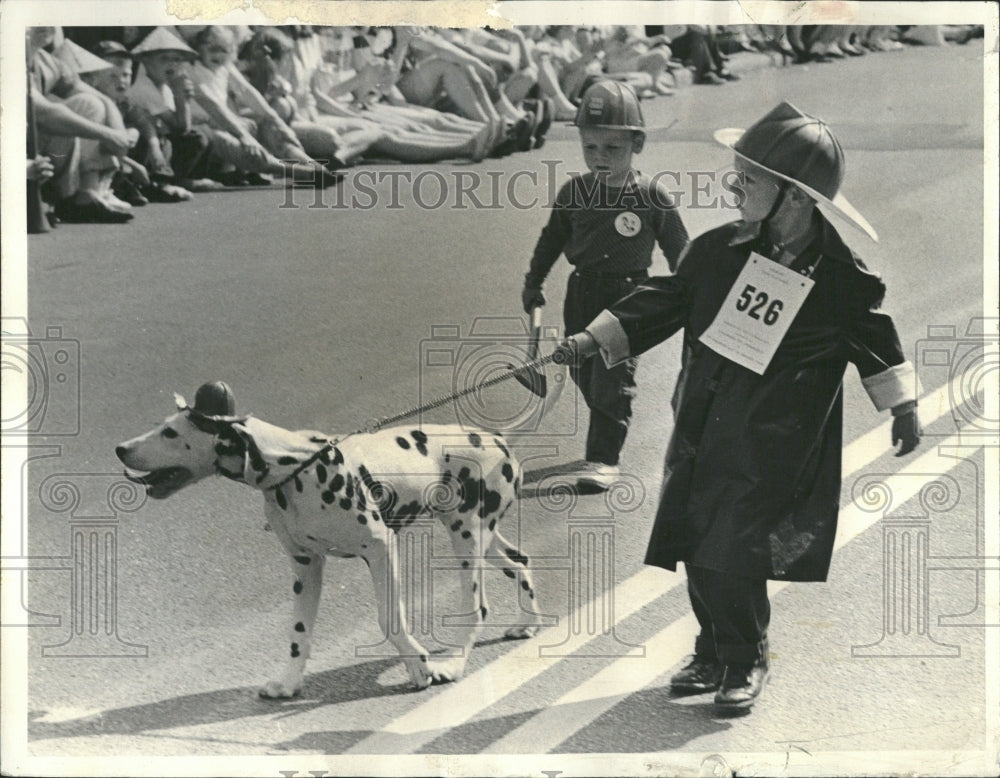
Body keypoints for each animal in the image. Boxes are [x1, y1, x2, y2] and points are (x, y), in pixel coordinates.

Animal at [118, 382, 544, 696]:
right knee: (521, 560)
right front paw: (288, 683)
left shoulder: (380, 549)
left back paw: (453, 664)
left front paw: (418, 666)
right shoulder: (306, 566)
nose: (120, 448)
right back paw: (528, 622)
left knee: (477, 606)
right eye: (162, 426)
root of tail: (495, 437)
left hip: (466, 539)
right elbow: (298, 633)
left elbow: (390, 618)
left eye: (171, 433)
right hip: (479, 537)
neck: (294, 468)